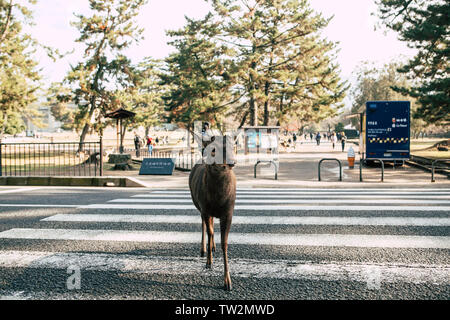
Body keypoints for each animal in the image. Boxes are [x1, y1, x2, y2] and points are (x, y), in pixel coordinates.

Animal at [188, 129, 237, 290]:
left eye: (233, 146)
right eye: (214, 149)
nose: (232, 162)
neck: (218, 199)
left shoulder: (228, 212)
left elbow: (224, 243)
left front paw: (228, 282)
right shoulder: (205, 208)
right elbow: (209, 232)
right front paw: (209, 263)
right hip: (199, 205)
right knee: (204, 226)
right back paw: (204, 249)